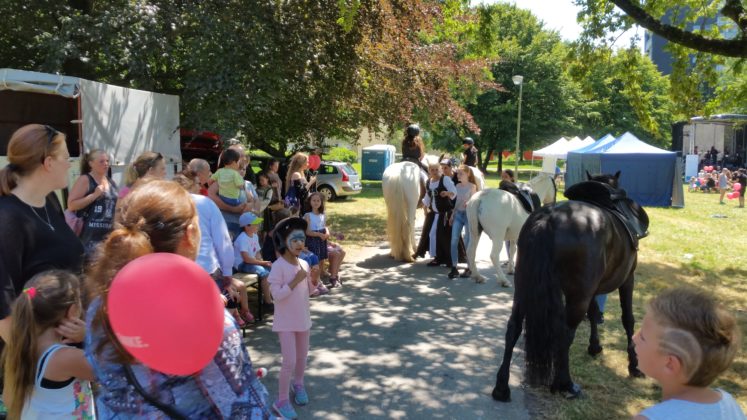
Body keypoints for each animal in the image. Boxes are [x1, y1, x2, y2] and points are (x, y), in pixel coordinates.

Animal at [490, 171, 648, 400]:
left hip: (523, 288)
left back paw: (502, 386)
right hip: (577, 296)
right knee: (564, 333)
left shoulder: (593, 289)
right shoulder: (628, 279)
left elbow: (594, 313)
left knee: (514, 328)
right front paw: (634, 364)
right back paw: (564, 383)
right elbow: (628, 319)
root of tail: (548, 219)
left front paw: (595, 346)